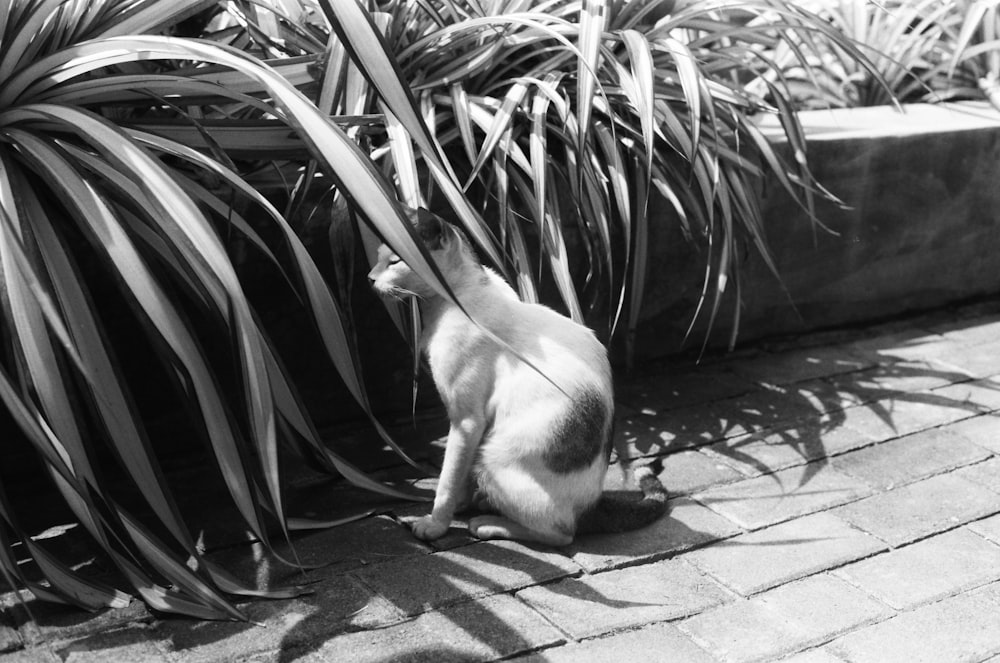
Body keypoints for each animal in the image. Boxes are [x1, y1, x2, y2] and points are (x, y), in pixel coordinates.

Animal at [366, 210, 664, 548]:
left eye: (394, 262)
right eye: (379, 257)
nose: (370, 278)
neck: (449, 301)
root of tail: (592, 505)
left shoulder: (466, 422)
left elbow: (448, 479)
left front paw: (437, 523)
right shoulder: (470, 429)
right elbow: (459, 478)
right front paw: (461, 505)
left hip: (491, 459)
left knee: (562, 532)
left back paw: (487, 523)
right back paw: (485, 504)